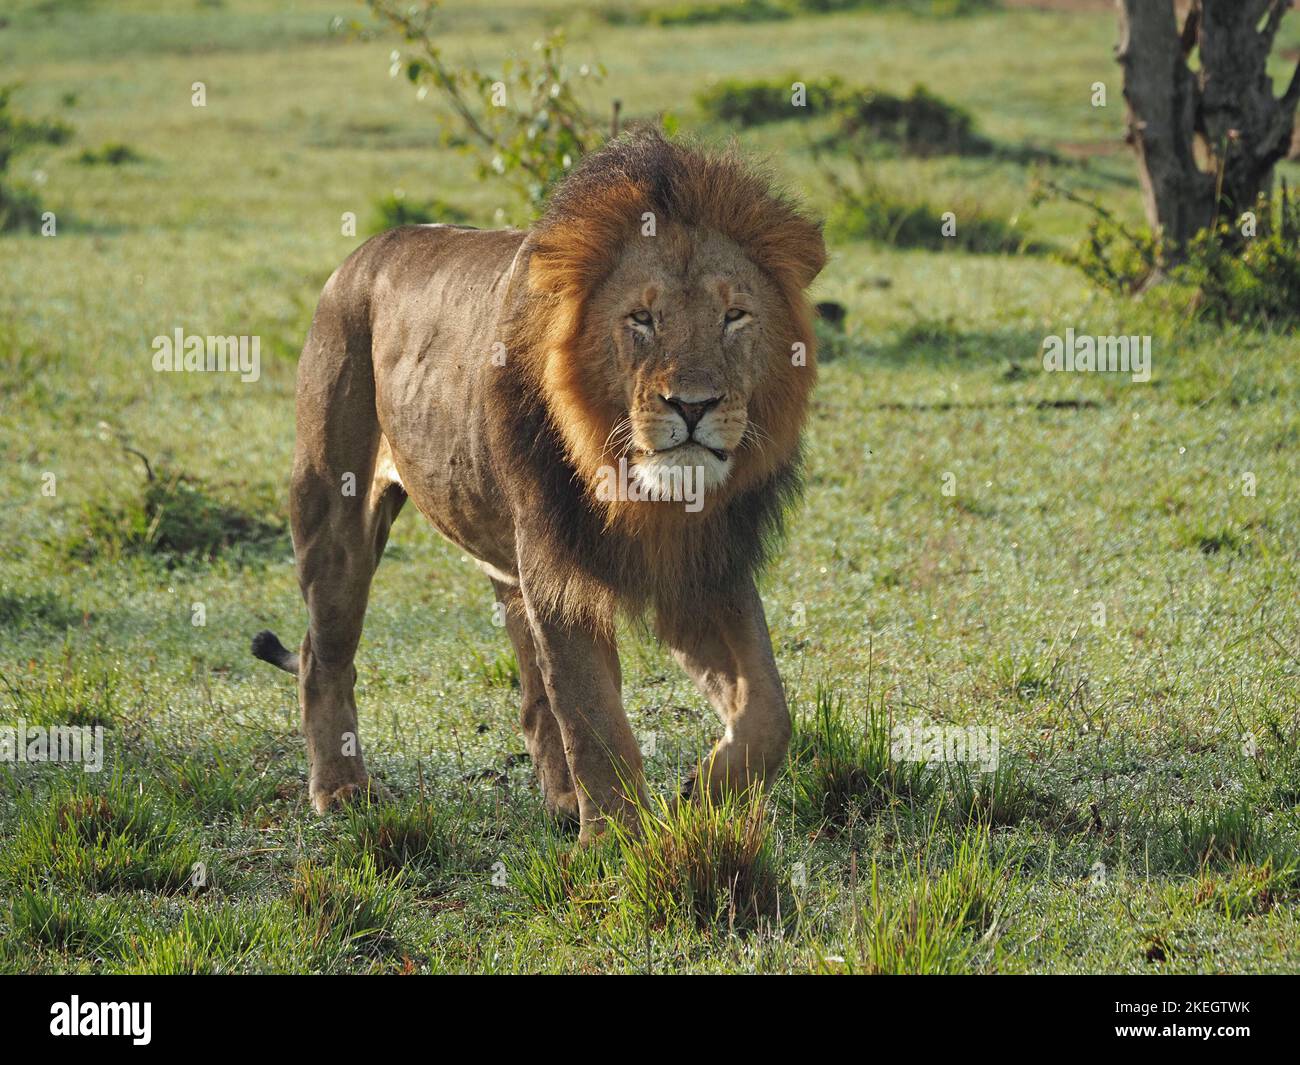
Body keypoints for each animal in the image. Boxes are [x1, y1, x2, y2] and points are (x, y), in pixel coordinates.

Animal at [248, 129, 826, 842]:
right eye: (642, 318)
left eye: (735, 316)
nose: (693, 406)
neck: (640, 491)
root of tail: (359, 256)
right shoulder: (557, 567)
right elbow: (594, 721)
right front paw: (616, 846)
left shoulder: (704, 565)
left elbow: (769, 709)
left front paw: (703, 793)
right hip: (335, 513)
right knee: (320, 655)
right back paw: (341, 789)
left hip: (502, 555)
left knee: (530, 693)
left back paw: (560, 801)